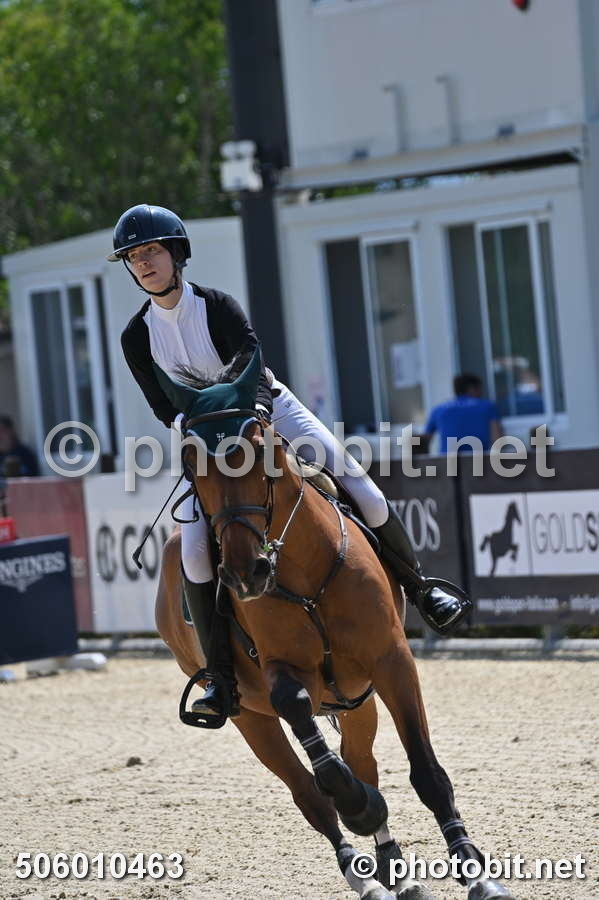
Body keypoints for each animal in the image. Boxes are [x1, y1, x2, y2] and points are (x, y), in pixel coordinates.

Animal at [154, 348, 516, 900]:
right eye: (193, 461)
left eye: (259, 450)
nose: (245, 574)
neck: (303, 568)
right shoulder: (282, 674)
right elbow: (305, 728)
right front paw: (358, 806)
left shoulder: (390, 659)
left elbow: (427, 773)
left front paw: (476, 875)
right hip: (250, 718)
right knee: (310, 793)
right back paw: (364, 873)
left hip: (357, 696)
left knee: (362, 759)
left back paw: (394, 869)